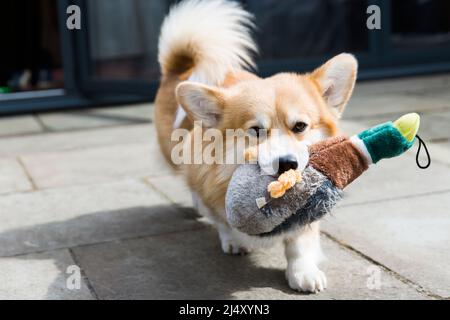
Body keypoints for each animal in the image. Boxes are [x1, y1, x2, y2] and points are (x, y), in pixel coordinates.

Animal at [156, 0, 358, 292]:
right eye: (256, 130)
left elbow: (300, 242)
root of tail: (181, 66)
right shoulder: (209, 183)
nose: (287, 164)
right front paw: (233, 240)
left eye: (300, 126)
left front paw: (303, 272)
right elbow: (222, 220)